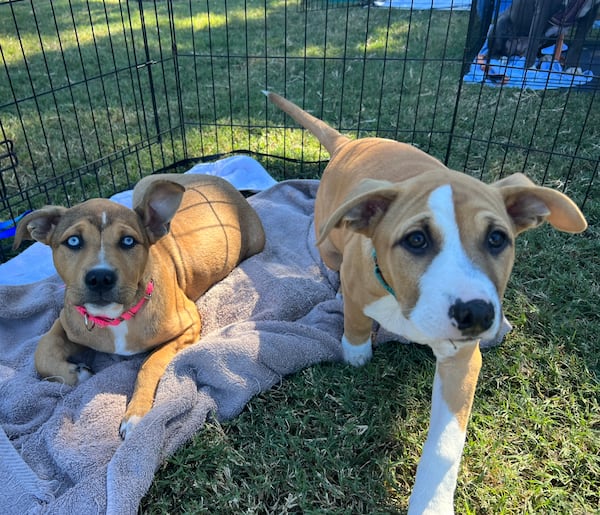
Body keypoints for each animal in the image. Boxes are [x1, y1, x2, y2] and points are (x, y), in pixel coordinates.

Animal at [13, 173, 264, 440]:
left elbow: (149, 363)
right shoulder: (68, 319)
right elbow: (42, 352)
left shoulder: (189, 325)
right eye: (73, 241)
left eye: (128, 241)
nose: (100, 277)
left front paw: (136, 414)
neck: (115, 317)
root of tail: (223, 184)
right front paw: (77, 374)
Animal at [266, 90, 584, 512]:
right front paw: (356, 352)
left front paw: (431, 503)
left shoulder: (462, 360)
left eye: (497, 238)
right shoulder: (356, 278)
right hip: (329, 237)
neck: (404, 303)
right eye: (416, 240)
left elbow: (445, 444)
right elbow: (355, 318)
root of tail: (349, 143)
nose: (477, 314)